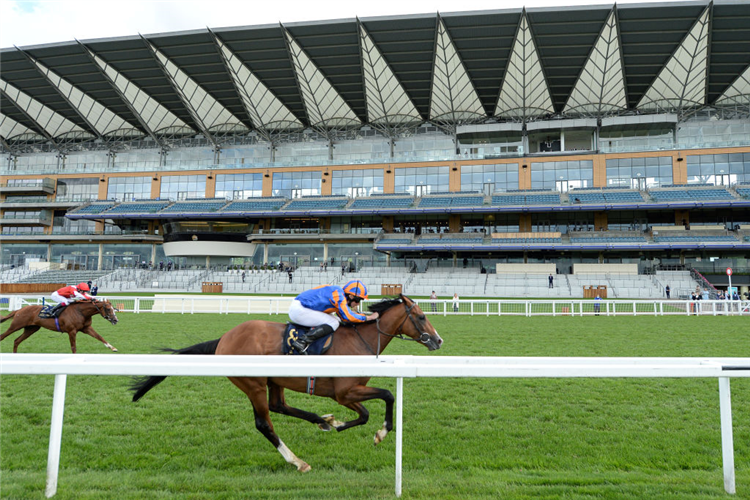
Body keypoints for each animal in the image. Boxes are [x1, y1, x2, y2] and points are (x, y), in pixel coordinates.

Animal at [132, 294, 444, 474]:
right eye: (421, 316)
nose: (439, 340)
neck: (360, 340)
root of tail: (224, 339)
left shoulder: (344, 394)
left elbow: (365, 413)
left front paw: (336, 424)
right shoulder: (344, 392)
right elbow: (388, 395)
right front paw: (381, 432)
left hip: (274, 380)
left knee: (279, 405)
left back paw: (321, 420)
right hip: (254, 384)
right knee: (265, 423)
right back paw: (298, 461)